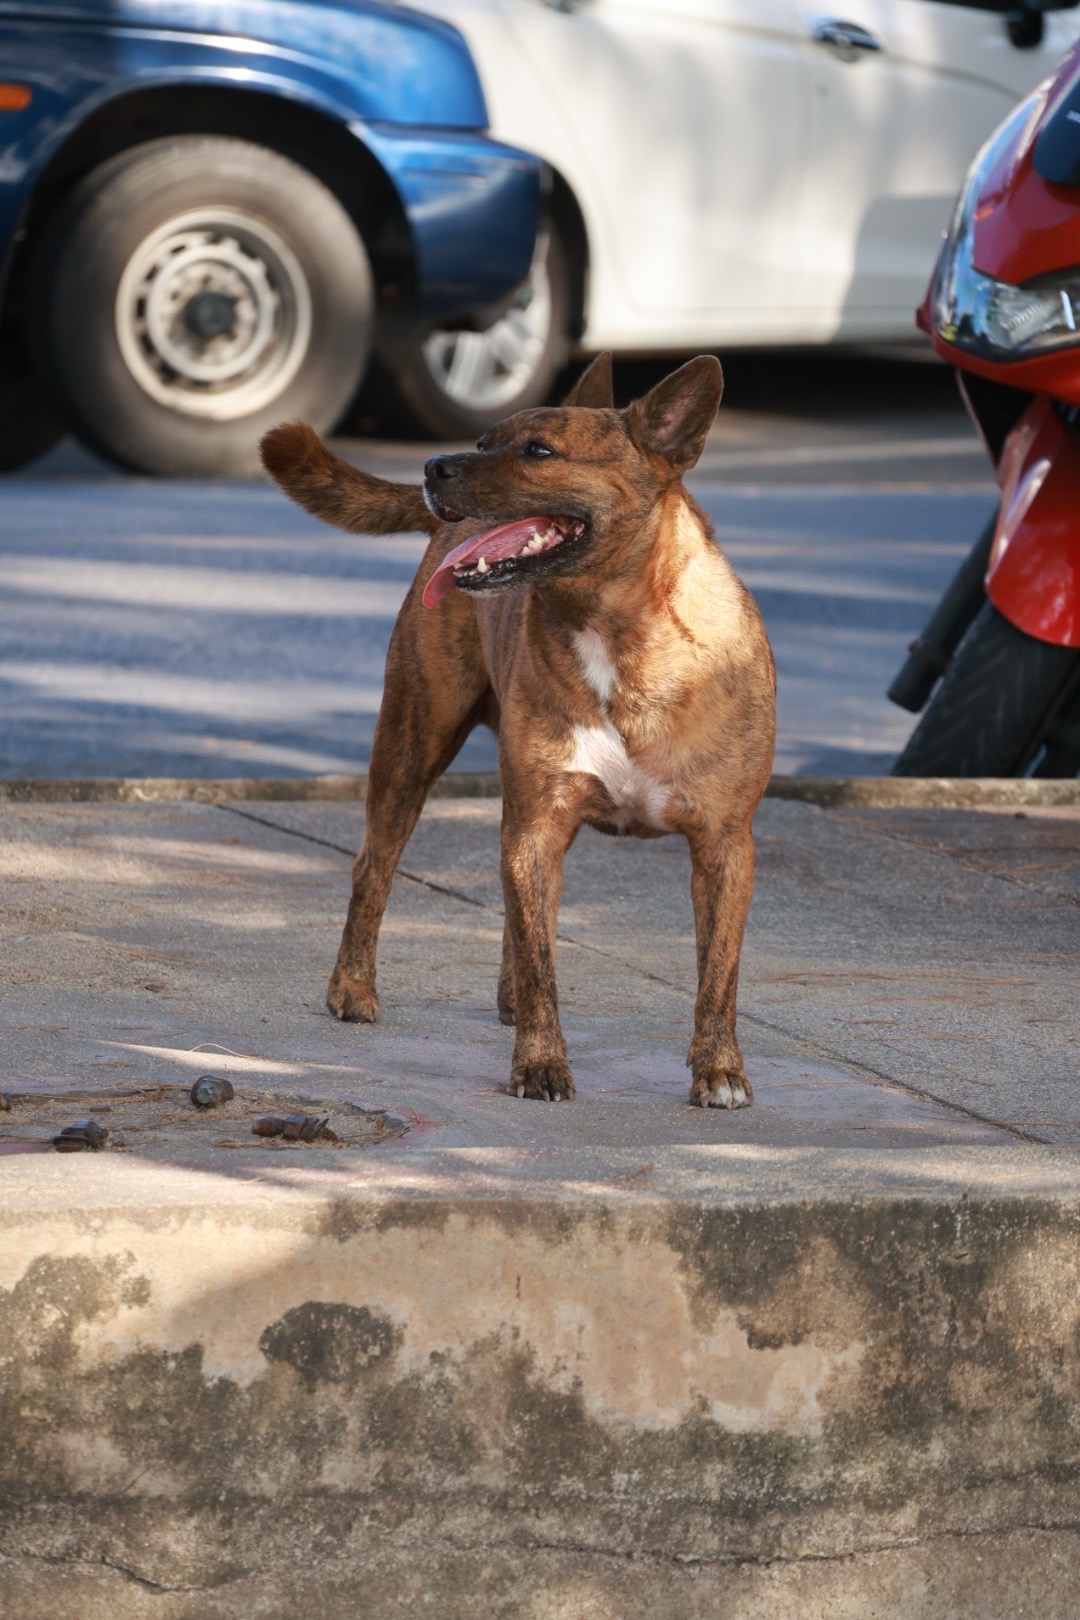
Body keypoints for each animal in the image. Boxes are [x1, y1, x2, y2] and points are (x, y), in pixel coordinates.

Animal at [259, 354, 777, 1108]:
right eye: (483, 441)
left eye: (539, 451)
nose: (435, 464)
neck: (622, 633)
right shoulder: (537, 826)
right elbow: (541, 962)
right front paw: (539, 1061)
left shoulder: (724, 846)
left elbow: (719, 973)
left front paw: (719, 1069)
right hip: (412, 748)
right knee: (373, 868)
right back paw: (353, 987)